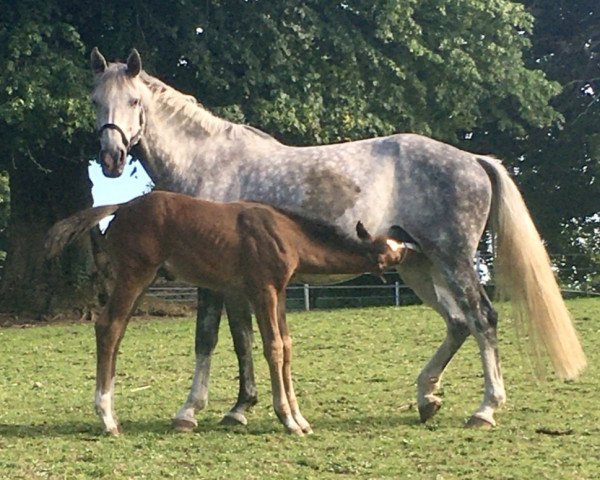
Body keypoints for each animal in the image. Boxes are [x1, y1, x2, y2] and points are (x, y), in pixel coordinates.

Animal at [47, 191, 412, 436]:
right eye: (393, 254)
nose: (413, 247)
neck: (287, 233)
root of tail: (121, 206)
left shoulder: (279, 293)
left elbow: (287, 345)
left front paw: (300, 418)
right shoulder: (262, 290)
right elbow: (273, 348)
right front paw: (288, 420)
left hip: (140, 280)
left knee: (116, 329)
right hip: (134, 275)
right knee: (109, 326)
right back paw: (108, 419)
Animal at [90, 48, 584, 430]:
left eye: (134, 100)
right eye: (95, 101)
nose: (111, 159)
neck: (210, 164)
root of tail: (474, 160)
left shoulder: (214, 283)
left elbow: (208, 338)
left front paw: (190, 412)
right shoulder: (239, 283)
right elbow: (241, 340)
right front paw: (239, 409)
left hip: (453, 259)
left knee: (482, 319)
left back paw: (485, 409)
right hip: (417, 265)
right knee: (458, 322)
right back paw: (427, 399)